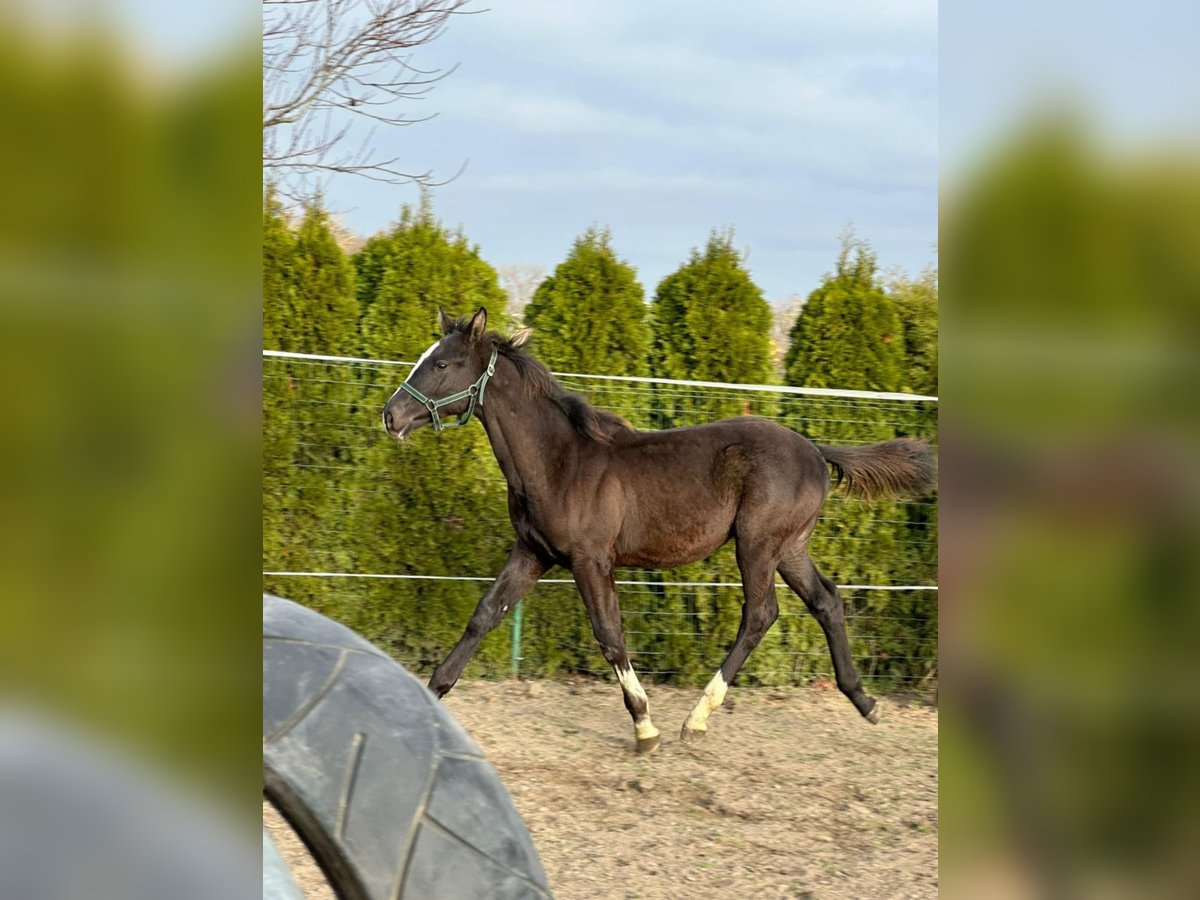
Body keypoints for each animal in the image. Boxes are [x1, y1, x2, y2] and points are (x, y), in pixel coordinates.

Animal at [384, 309, 936, 753]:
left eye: (442, 364)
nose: (391, 415)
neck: (559, 461)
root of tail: (817, 451)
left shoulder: (590, 560)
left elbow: (609, 634)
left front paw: (644, 727)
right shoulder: (532, 553)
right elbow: (484, 615)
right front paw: (430, 693)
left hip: (758, 545)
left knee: (760, 614)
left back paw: (696, 720)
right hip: (790, 548)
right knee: (826, 600)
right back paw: (864, 701)